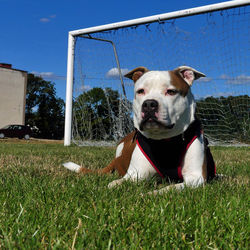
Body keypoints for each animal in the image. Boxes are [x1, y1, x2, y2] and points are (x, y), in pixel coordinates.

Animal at [63, 65, 216, 194]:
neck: (164, 140)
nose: (149, 104)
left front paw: (153, 193)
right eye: (141, 91)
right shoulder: (135, 174)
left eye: (171, 91)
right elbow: (117, 183)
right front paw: (114, 185)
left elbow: (170, 188)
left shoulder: (195, 177)